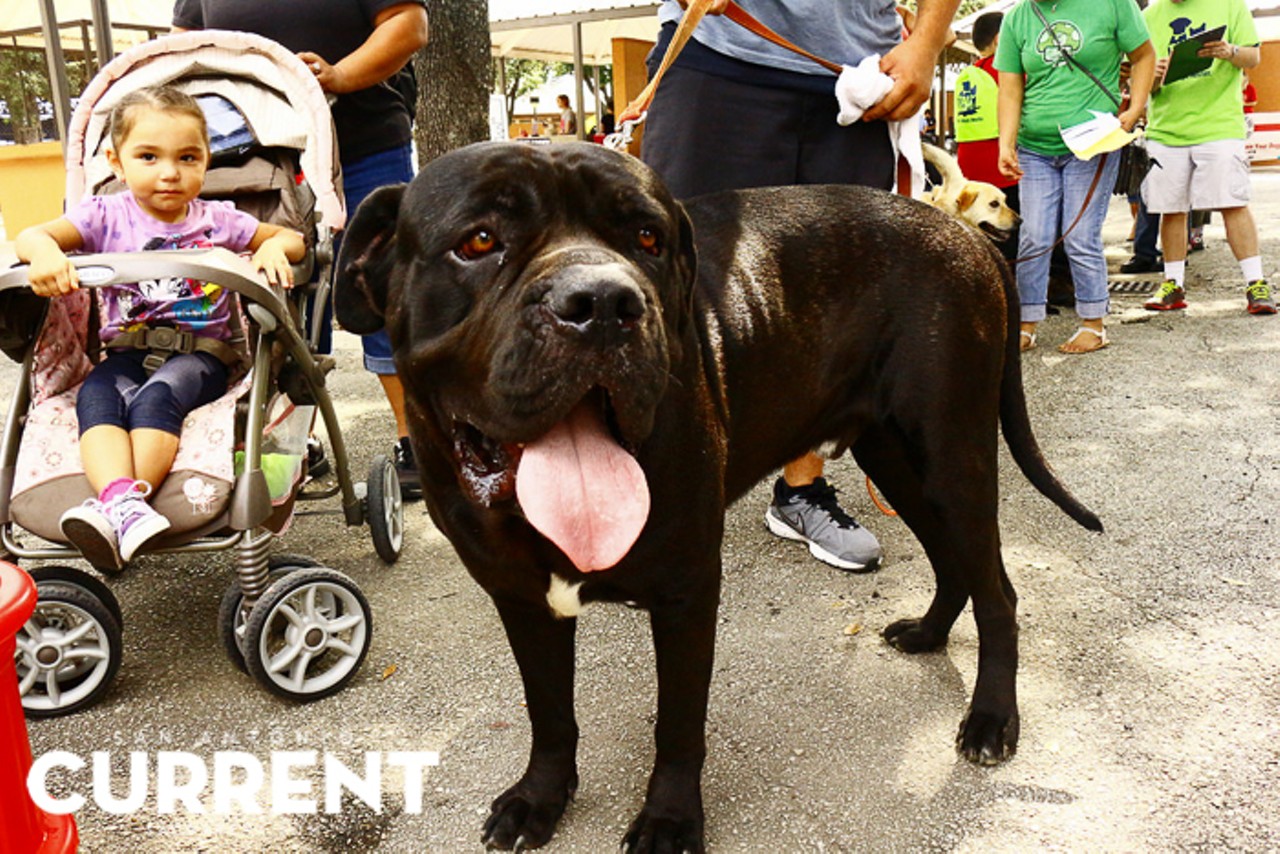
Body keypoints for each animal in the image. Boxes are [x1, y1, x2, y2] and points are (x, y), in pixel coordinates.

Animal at [332, 143, 1100, 850]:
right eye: (479, 241)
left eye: (648, 239)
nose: (603, 304)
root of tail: (968, 235)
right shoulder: (521, 598)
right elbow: (547, 711)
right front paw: (539, 800)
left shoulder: (686, 590)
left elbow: (678, 724)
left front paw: (669, 821)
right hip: (896, 458)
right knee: (952, 562)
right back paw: (929, 632)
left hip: (950, 457)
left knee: (998, 592)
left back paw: (992, 720)